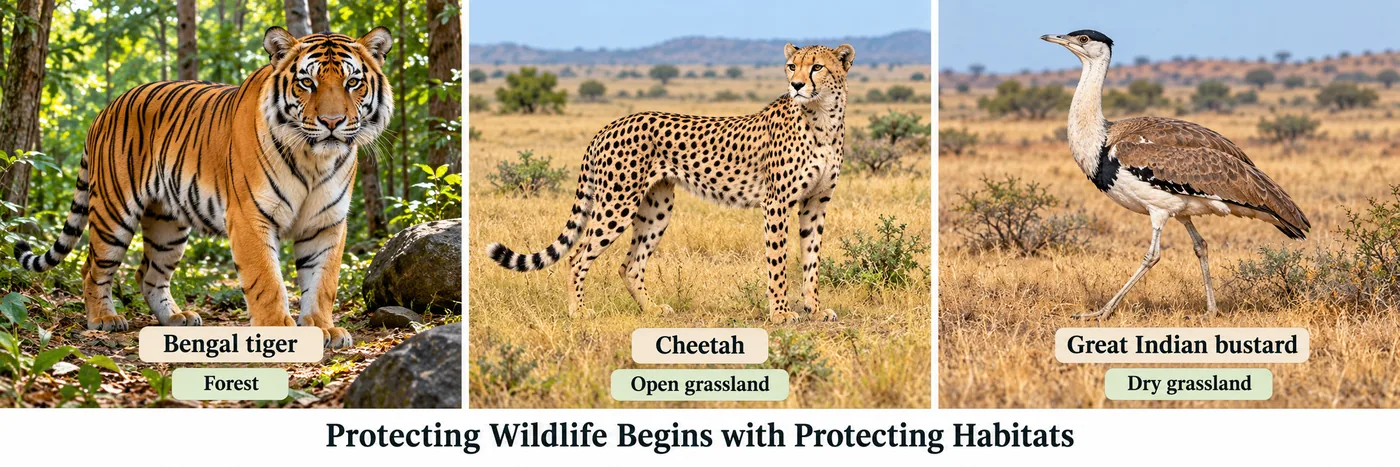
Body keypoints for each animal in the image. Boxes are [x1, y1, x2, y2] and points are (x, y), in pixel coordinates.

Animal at [11, 26, 394, 349]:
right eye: (307, 83)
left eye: (353, 82)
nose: (332, 122)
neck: (314, 160)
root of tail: (104, 111)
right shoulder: (250, 216)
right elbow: (267, 280)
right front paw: (278, 328)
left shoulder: (326, 223)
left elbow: (322, 282)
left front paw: (323, 328)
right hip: (112, 213)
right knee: (92, 269)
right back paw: (104, 318)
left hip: (167, 226)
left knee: (147, 274)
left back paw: (175, 318)